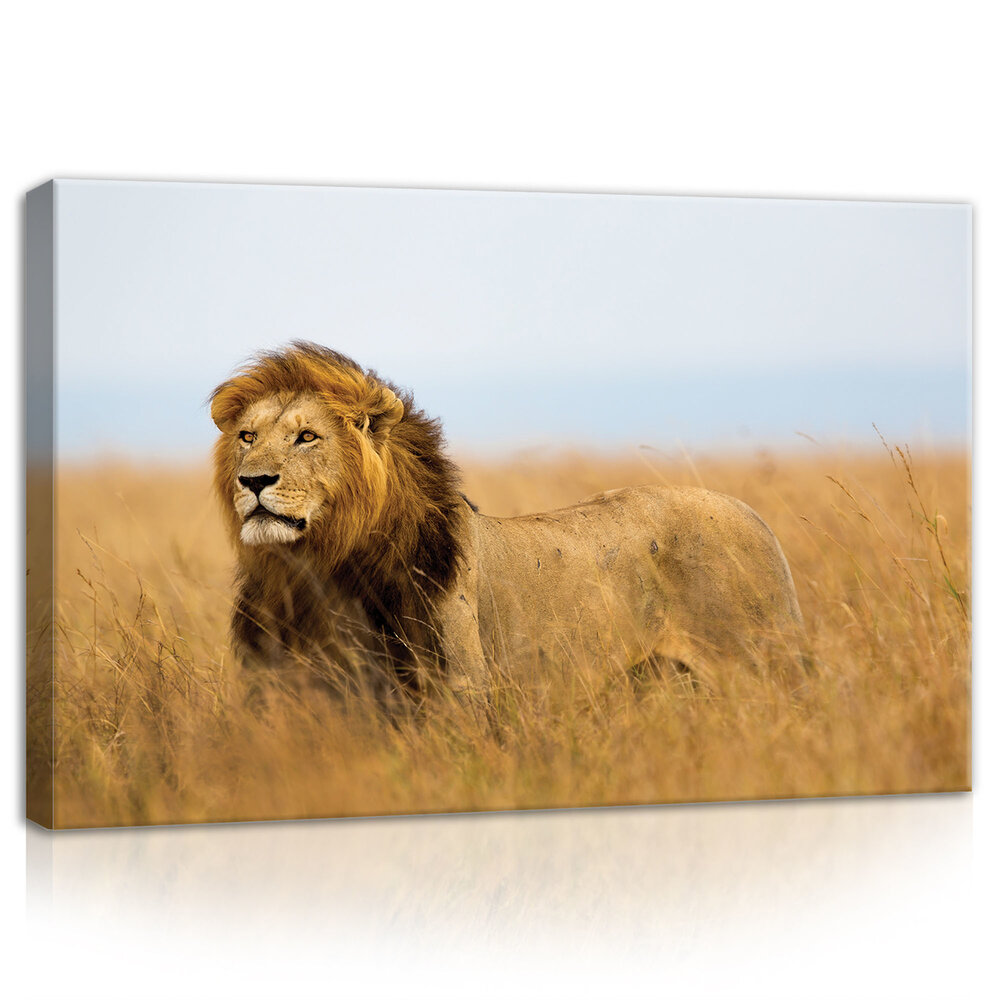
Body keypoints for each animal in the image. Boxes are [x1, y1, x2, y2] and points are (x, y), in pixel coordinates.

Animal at [210, 342, 805, 708]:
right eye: (247, 437)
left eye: (307, 436)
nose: (252, 481)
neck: (317, 569)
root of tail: (753, 515)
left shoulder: (457, 692)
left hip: (761, 665)